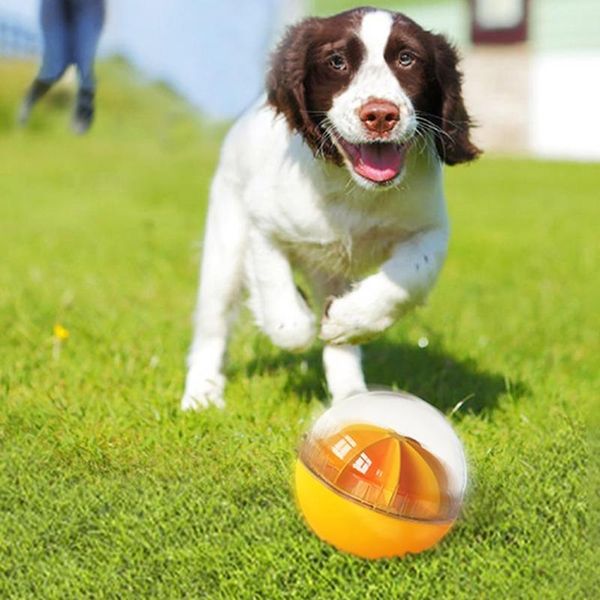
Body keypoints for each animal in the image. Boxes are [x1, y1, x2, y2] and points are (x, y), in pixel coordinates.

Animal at [180, 7, 480, 410]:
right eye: (337, 62)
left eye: (407, 59)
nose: (380, 115)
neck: (353, 189)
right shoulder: (262, 225)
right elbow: (281, 305)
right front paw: (298, 319)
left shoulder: (429, 229)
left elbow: (409, 278)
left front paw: (348, 321)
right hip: (225, 244)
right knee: (213, 322)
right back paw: (202, 394)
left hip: (332, 273)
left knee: (340, 345)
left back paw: (352, 394)